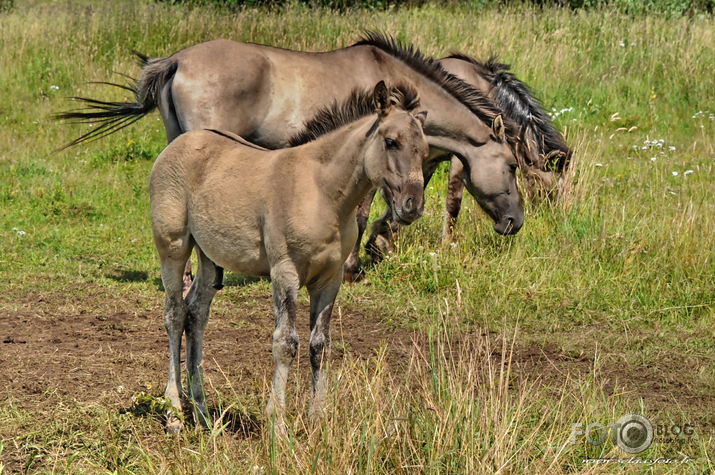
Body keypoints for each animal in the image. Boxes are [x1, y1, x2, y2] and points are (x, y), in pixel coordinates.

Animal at [150, 82, 428, 436]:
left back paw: (201, 411)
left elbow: (320, 344)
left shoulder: (330, 279)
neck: (322, 191)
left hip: (210, 257)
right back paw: (174, 413)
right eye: (391, 141)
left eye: (424, 150)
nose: (412, 205)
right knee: (174, 314)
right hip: (173, 248)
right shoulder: (285, 272)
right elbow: (286, 342)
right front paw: (277, 423)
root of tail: (179, 143)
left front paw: (318, 419)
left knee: (195, 314)